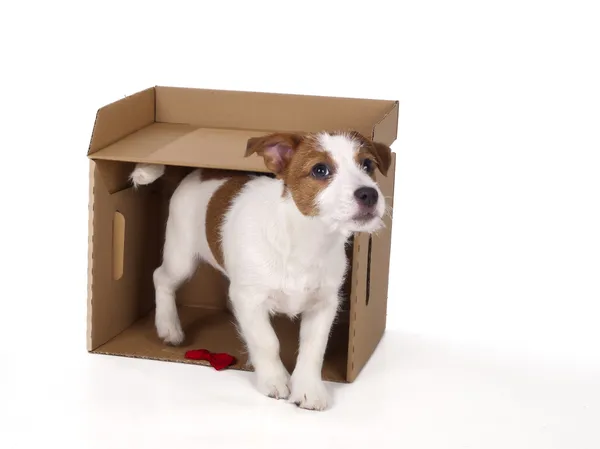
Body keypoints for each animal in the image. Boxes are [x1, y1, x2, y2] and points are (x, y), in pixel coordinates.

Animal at [130, 129, 394, 410]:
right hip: (181, 257)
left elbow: (313, 348)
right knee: (161, 278)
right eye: (320, 170)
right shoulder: (250, 299)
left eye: (368, 165)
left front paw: (308, 389)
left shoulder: (324, 303)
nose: (369, 194)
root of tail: (193, 174)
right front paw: (274, 379)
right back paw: (168, 326)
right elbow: (267, 341)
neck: (308, 239)